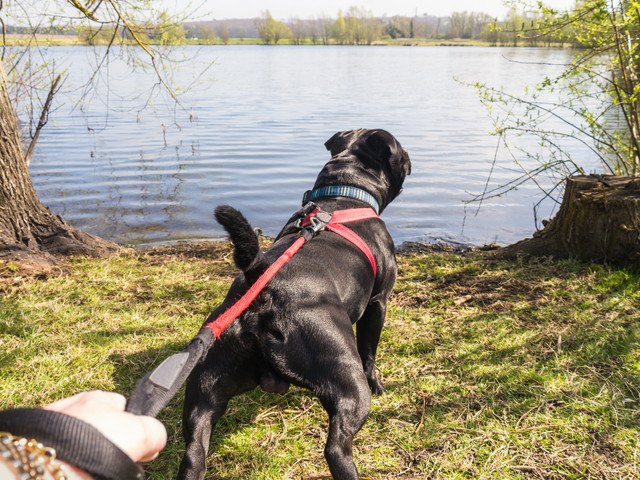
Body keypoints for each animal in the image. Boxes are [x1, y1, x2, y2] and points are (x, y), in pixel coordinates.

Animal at [178, 128, 412, 480]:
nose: (411, 159)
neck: (345, 193)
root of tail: (262, 287)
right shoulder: (378, 303)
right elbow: (370, 351)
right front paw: (379, 384)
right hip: (346, 377)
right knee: (336, 446)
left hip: (203, 390)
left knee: (194, 450)